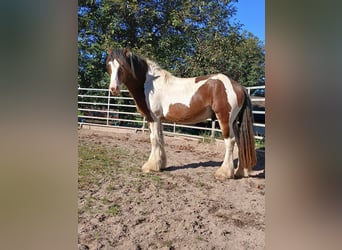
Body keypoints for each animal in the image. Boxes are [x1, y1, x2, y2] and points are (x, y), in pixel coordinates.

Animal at [105, 47, 255, 180]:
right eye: (109, 66)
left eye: (123, 65)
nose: (113, 89)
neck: (149, 84)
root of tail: (238, 86)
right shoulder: (159, 119)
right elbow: (161, 139)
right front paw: (161, 164)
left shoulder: (153, 118)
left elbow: (154, 139)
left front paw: (150, 166)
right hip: (234, 122)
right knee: (240, 142)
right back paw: (240, 172)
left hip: (224, 119)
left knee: (230, 141)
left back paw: (223, 173)